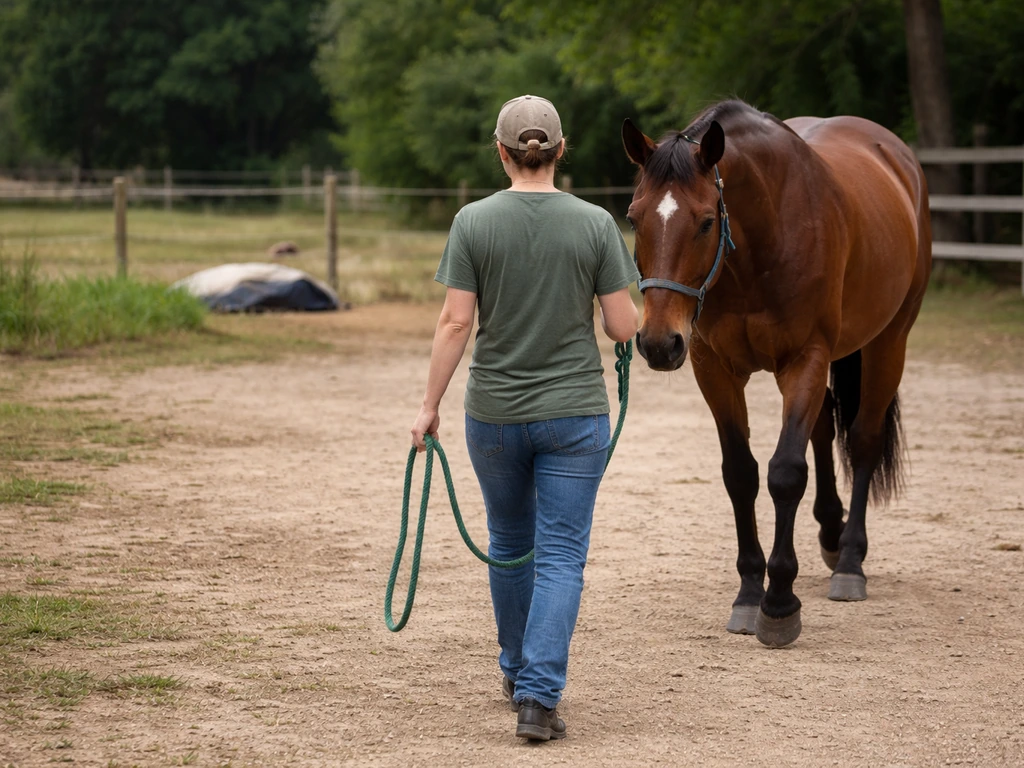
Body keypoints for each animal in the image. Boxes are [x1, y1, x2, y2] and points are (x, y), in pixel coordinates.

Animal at [622, 99, 931, 648]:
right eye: (635, 219)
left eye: (706, 222)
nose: (658, 343)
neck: (762, 242)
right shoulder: (714, 368)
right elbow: (740, 474)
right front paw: (749, 592)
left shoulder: (804, 359)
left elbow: (786, 473)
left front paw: (780, 603)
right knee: (825, 426)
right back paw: (830, 534)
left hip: (889, 341)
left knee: (864, 440)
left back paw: (850, 560)